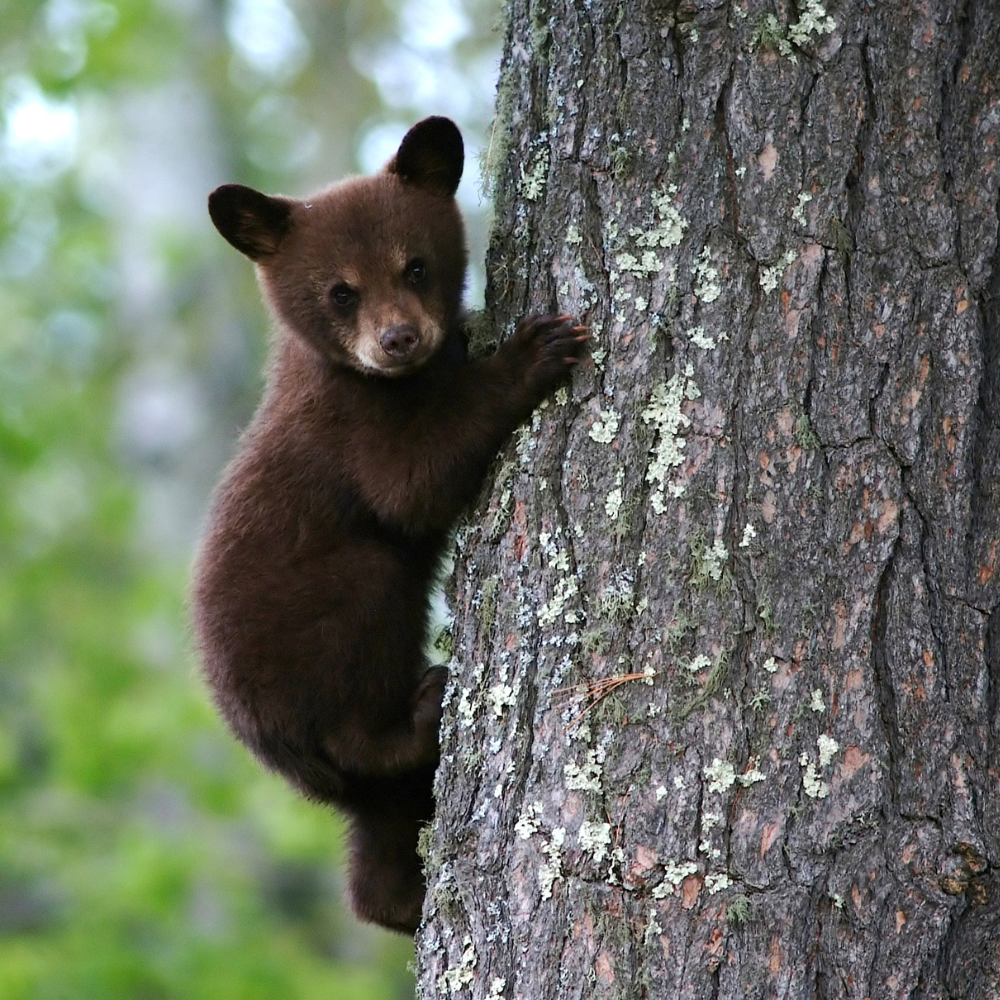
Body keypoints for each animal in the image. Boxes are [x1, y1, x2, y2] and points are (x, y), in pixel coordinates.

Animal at [191, 116, 586, 934]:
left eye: (416, 266)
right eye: (341, 292)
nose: (399, 339)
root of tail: (271, 749)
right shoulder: (349, 427)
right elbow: (413, 485)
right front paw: (532, 351)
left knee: (378, 839)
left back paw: (399, 901)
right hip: (320, 628)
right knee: (361, 679)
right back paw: (422, 708)